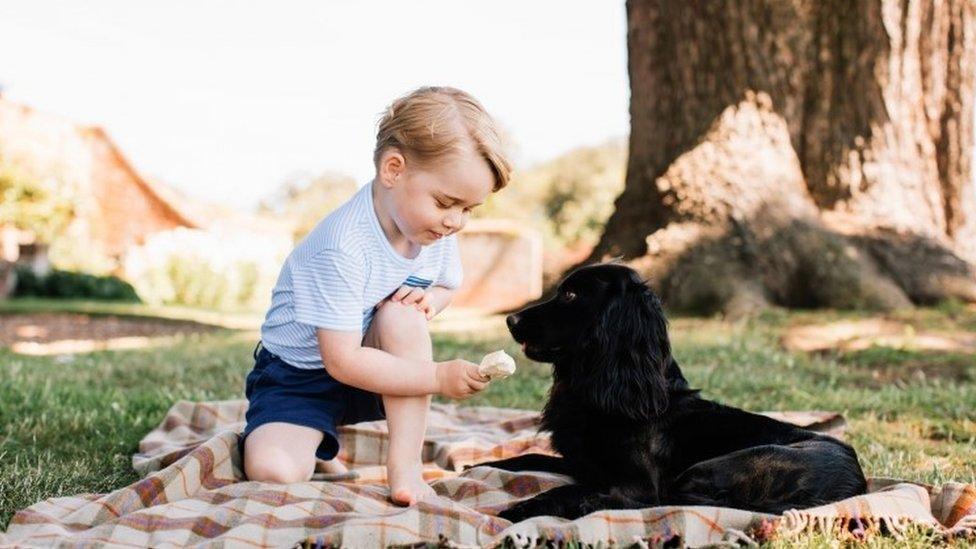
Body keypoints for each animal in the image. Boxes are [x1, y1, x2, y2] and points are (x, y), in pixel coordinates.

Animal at [476, 266, 864, 524]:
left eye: (571, 295)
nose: (510, 320)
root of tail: (854, 485)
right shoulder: (582, 463)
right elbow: (525, 458)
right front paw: (476, 467)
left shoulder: (637, 483)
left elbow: (573, 490)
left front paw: (521, 508)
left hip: (710, 469)